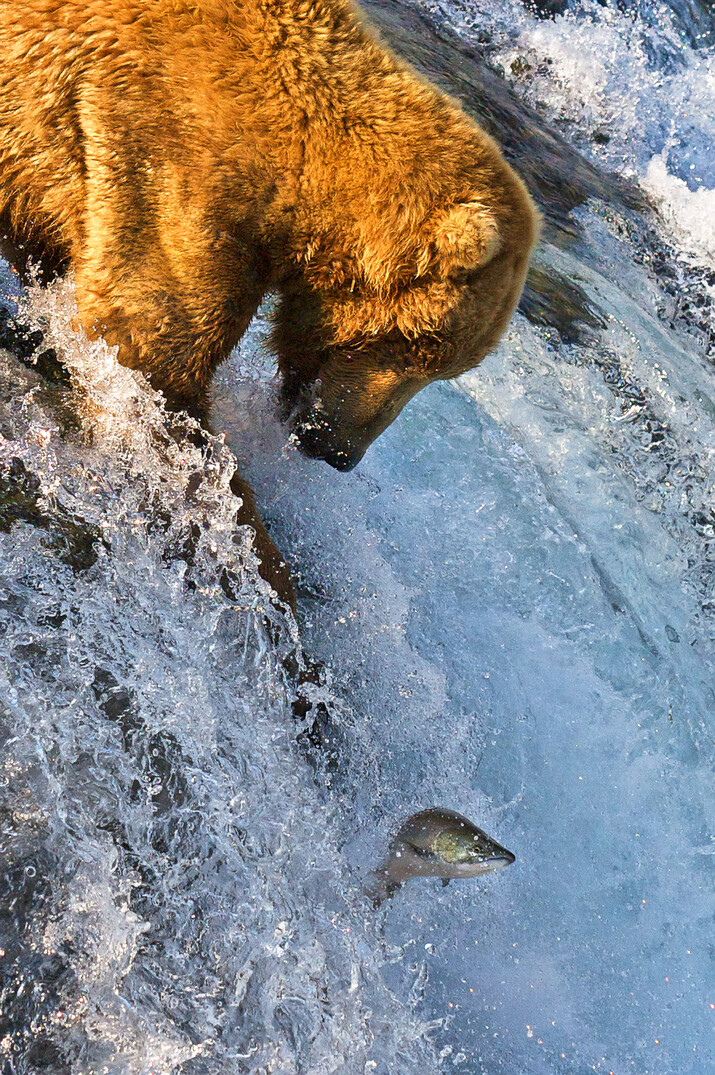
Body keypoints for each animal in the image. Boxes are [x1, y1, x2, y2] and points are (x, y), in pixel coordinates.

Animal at [0, 0, 535, 606]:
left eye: (446, 370)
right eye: (416, 347)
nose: (341, 452)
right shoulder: (166, 161)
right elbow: (148, 358)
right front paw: (266, 563)